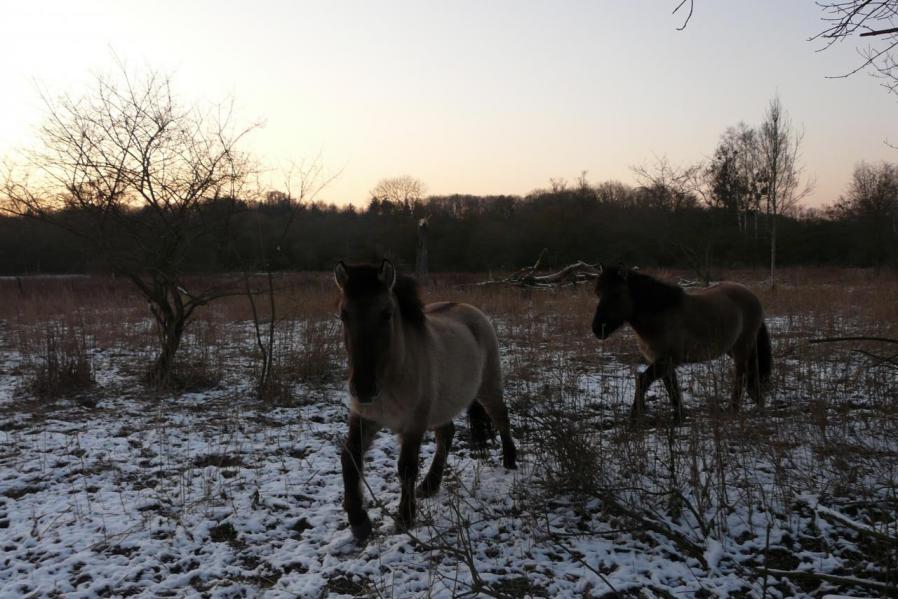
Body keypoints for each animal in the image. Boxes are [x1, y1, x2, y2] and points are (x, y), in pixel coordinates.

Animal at [332, 260, 516, 540]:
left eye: (386, 314)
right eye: (344, 314)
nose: (363, 389)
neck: (391, 377)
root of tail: (470, 310)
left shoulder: (413, 424)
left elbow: (406, 467)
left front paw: (405, 517)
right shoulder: (365, 418)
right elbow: (349, 457)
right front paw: (359, 521)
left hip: (488, 388)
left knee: (501, 417)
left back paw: (510, 460)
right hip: (441, 405)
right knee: (446, 434)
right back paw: (430, 484)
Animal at [588, 268, 768, 422]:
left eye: (616, 295)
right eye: (597, 293)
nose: (597, 329)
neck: (661, 314)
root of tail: (751, 295)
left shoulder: (668, 359)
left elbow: (643, 381)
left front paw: (634, 417)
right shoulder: (664, 362)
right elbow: (672, 388)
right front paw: (679, 417)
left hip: (742, 347)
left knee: (741, 375)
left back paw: (733, 409)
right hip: (732, 348)